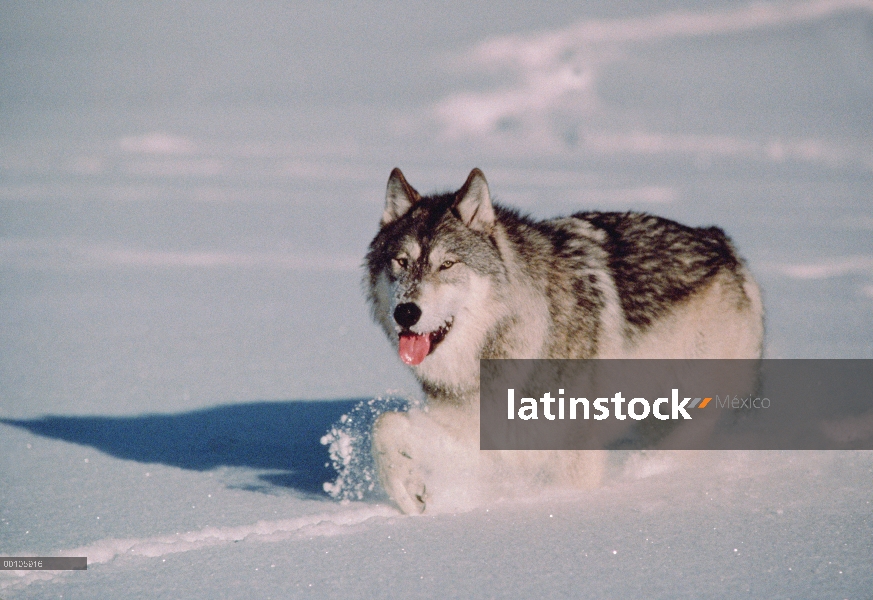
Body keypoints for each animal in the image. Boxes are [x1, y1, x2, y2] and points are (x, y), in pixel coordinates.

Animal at [364, 168, 760, 510]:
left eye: (447, 264)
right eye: (401, 262)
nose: (406, 312)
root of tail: (721, 240)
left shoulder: (571, 453)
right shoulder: (483, 435)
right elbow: (385, 424)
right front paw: (408, 493)